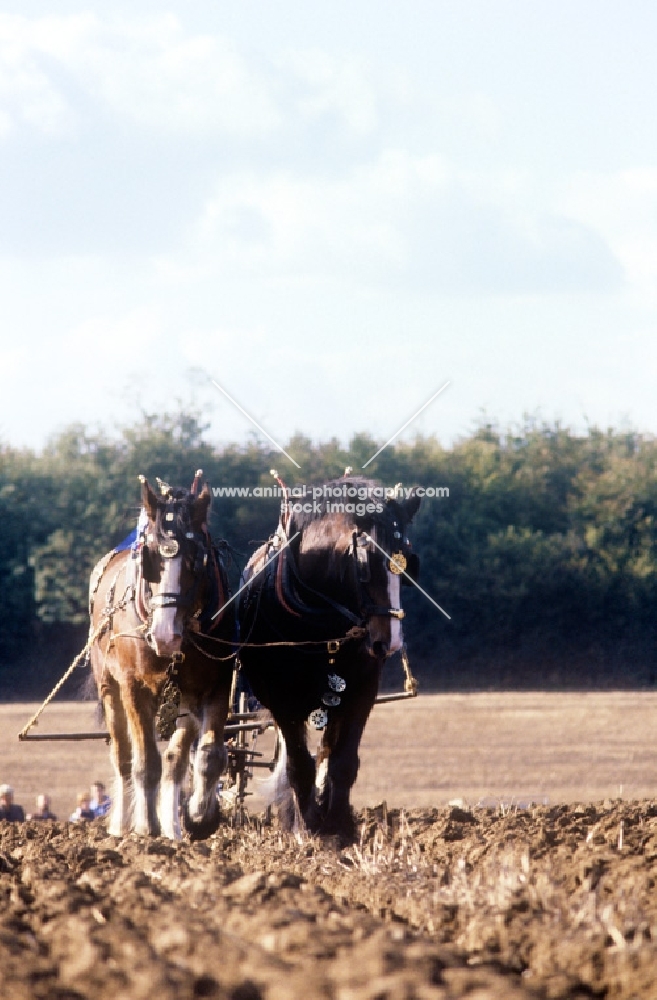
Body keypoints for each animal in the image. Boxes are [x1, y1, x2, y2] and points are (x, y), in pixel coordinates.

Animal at [88, 472, 234, 840]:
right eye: (150, 557)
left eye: (197, 558)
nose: (165, 636)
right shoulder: (134, 686)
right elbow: (145, 762)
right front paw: (146, 827)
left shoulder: (216, 685)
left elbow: (208, 755)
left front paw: (199, 818)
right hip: (109, 686)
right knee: (124, 756)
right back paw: (122, 825)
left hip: (182, 699)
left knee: (176, 761)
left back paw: (173, 828)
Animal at [240, 474, 420, 836]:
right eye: (365, 563)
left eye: (408, 560)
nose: (390, 643)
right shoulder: (280, 697)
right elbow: (298, 765)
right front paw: (308, 829)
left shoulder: (362, 689)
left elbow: (342, 762)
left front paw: (338, 827)